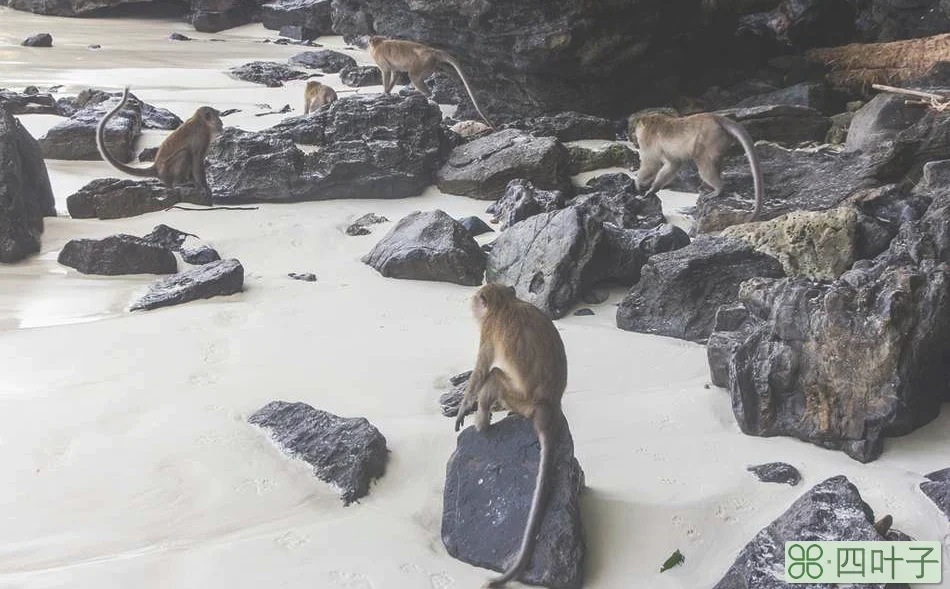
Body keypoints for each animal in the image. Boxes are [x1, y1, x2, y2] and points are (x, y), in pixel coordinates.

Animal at [366, 35, 494, 128]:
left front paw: (385, 92)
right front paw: (388, 91)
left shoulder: (381, 60)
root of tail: (433, 51)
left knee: (414, 76)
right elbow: (396, 73)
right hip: (429, 65)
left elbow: (386, 72)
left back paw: (424, 95)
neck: (379, 44)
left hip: (422, 63)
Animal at [454, 282, 564, 584]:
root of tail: (548, 406)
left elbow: (481, 373)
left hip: (518, 398)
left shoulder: (489, 330)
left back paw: (482, 421)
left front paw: (464, 407)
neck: (505, 305)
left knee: (494, 375)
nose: (471, 306)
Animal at [632, 110, 768, 220]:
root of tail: (717, 118)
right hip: (720, 140)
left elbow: (651, 164)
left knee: (703, 163)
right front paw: (654, 188)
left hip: (710, 138)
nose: (634, 135)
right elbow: (673, 164)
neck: (651, 121)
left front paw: (638, 183)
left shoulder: (648, 140)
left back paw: (718, 188)